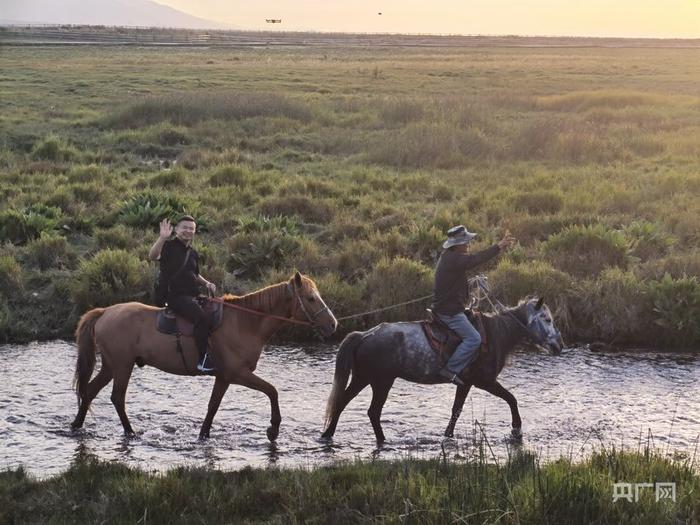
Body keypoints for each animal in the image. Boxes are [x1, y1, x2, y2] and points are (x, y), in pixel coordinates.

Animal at [71, 272, 336, 440]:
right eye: (311, 298)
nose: (333, 325)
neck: (245, 322)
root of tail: (105, 312)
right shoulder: (238, 374)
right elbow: (272, 391)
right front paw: (273, 429)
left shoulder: (224, 377)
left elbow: (213, 406)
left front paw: (204, 435)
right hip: (122, 366)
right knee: (117, 397)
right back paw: (130, 432)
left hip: (111, 366)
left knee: (90, 391)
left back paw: (77, 425)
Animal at [322, 296, 564, 440]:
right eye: (547, 319)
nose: (559, 345)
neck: (496, 334)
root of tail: (364, 335)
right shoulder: (484, 382)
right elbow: (511, 398)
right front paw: (516, 428)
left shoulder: (465, 383)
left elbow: (456, 410)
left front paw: (448, 435)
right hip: (381, 382)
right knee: (372, 411)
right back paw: (381, 440)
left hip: (363, 378)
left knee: (342, 402)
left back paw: (328, 434)